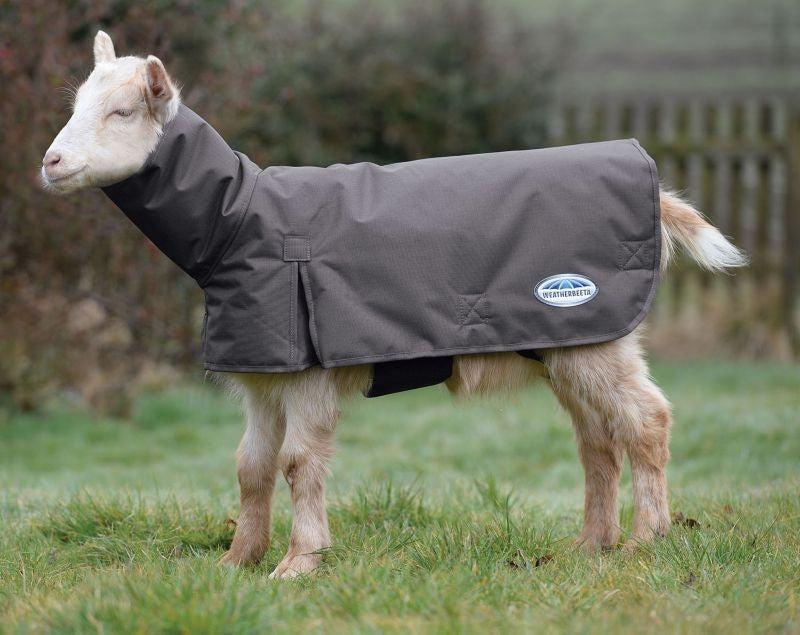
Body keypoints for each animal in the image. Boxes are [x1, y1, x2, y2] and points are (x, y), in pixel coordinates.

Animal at [42, 31, 746, 579]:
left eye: (123, 112)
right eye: (77, 106)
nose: (50, 162)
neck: (238, 222)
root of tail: (651, 187)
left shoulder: (308, 372)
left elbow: (298, 464)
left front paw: (298, 565)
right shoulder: (262, 375)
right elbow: (251, 468)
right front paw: (237, 561)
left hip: (598, 333)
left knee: (646, 421)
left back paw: (645, 541)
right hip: (567, 343)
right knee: (597, 440)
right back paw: (590, 547)